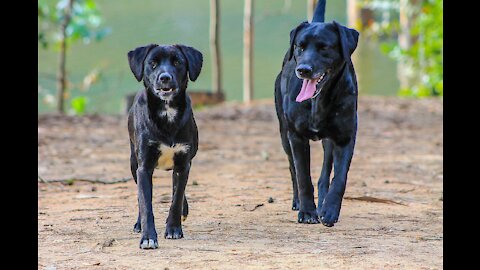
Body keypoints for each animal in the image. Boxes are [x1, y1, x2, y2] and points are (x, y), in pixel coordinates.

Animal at [126, 43, 202, 249]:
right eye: (152, 63)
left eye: (177, 62)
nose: (165, 77)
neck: (167, 112)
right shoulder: (144, 167)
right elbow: (146, 204)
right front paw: (148, 237)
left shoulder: (183, 163)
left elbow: (176, 198)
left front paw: (174, 228)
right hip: (133, 163)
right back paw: (138, 224)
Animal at [276, 1, 358, 227]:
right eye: (300, 47)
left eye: (324, 47)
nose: (303, 69)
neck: (317, 102)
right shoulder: (296, 136)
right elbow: (303, 176)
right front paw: (306, 212)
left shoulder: (345, 137)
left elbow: (339, 178)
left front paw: (329, 211)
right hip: (284, 134)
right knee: (292, 169)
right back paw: (298, 202)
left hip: (328, 141)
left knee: (324, 175)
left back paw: (322, 204)